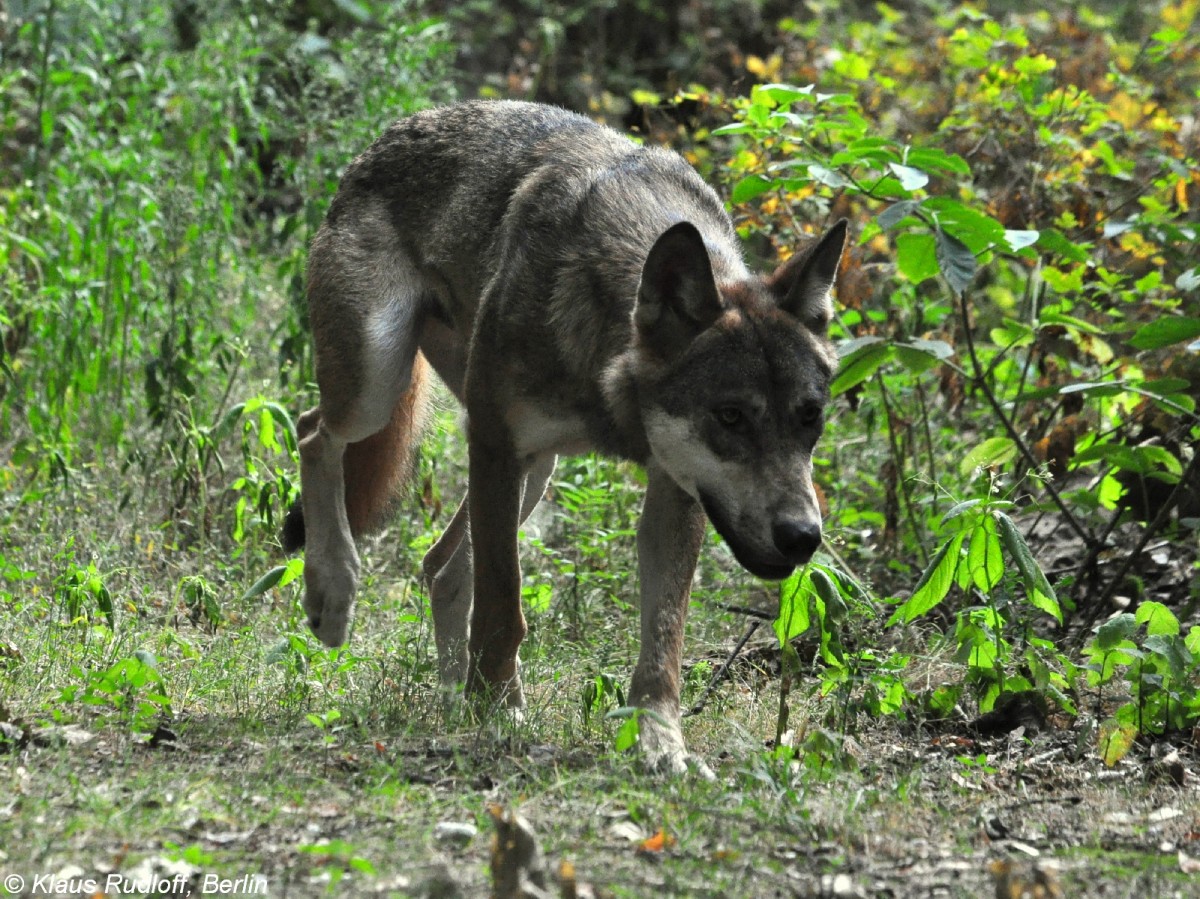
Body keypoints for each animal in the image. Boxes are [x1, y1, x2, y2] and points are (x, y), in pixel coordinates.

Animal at [282, 100, 849, 772]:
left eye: (810, 417)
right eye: (732, 416)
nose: (803, 537)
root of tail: (400, 127)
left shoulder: (679, 487)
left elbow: (664, 637)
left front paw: (661, 744)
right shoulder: (496, 445)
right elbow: (505, 604)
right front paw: (501, 710)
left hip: (535, 471)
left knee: (441, 566)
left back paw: (450, 700)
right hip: (380, 387)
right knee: (313, 433)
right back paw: (334, 591)